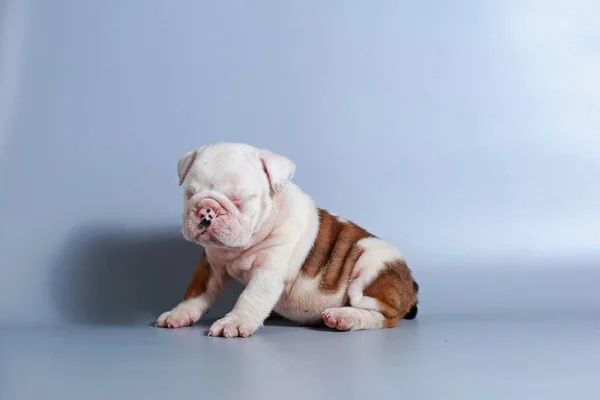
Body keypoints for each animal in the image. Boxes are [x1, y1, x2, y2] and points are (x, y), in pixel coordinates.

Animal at [157, 142, 420, 336]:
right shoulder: (210, 265)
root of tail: (412, 284)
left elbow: (251, 297)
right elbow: (196, 292)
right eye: (190, 194)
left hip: (371, 265)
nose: (206, 211)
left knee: (385, 315)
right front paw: (179, 313)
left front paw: (235, 322)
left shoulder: (269, 271)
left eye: (240, 199)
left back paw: (344, 316)